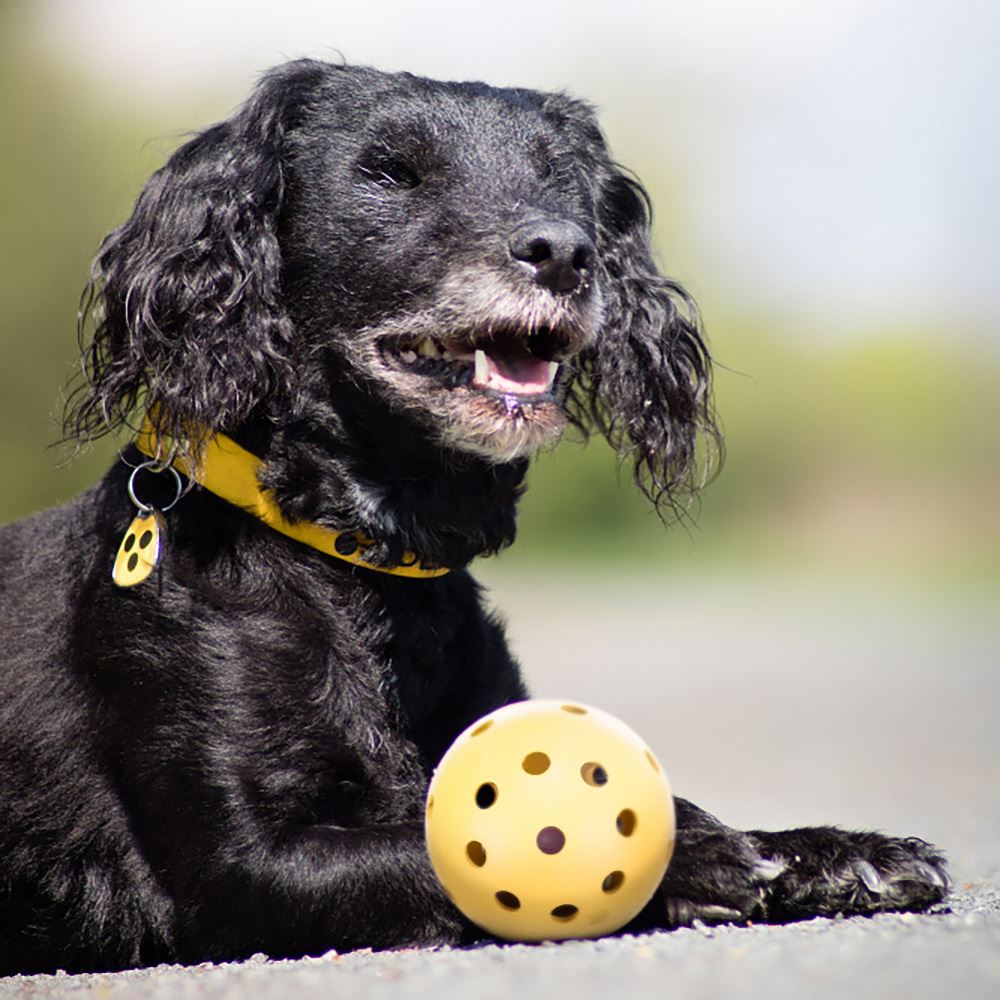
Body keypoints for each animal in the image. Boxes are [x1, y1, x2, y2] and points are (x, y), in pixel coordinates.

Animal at [0, 58, 948, 972]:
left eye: (558, 177)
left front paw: (837, 850)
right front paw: (691, 851)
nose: (565, 252)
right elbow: (459, 850)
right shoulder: (244, 864)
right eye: (389, 172)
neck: (360, 562)